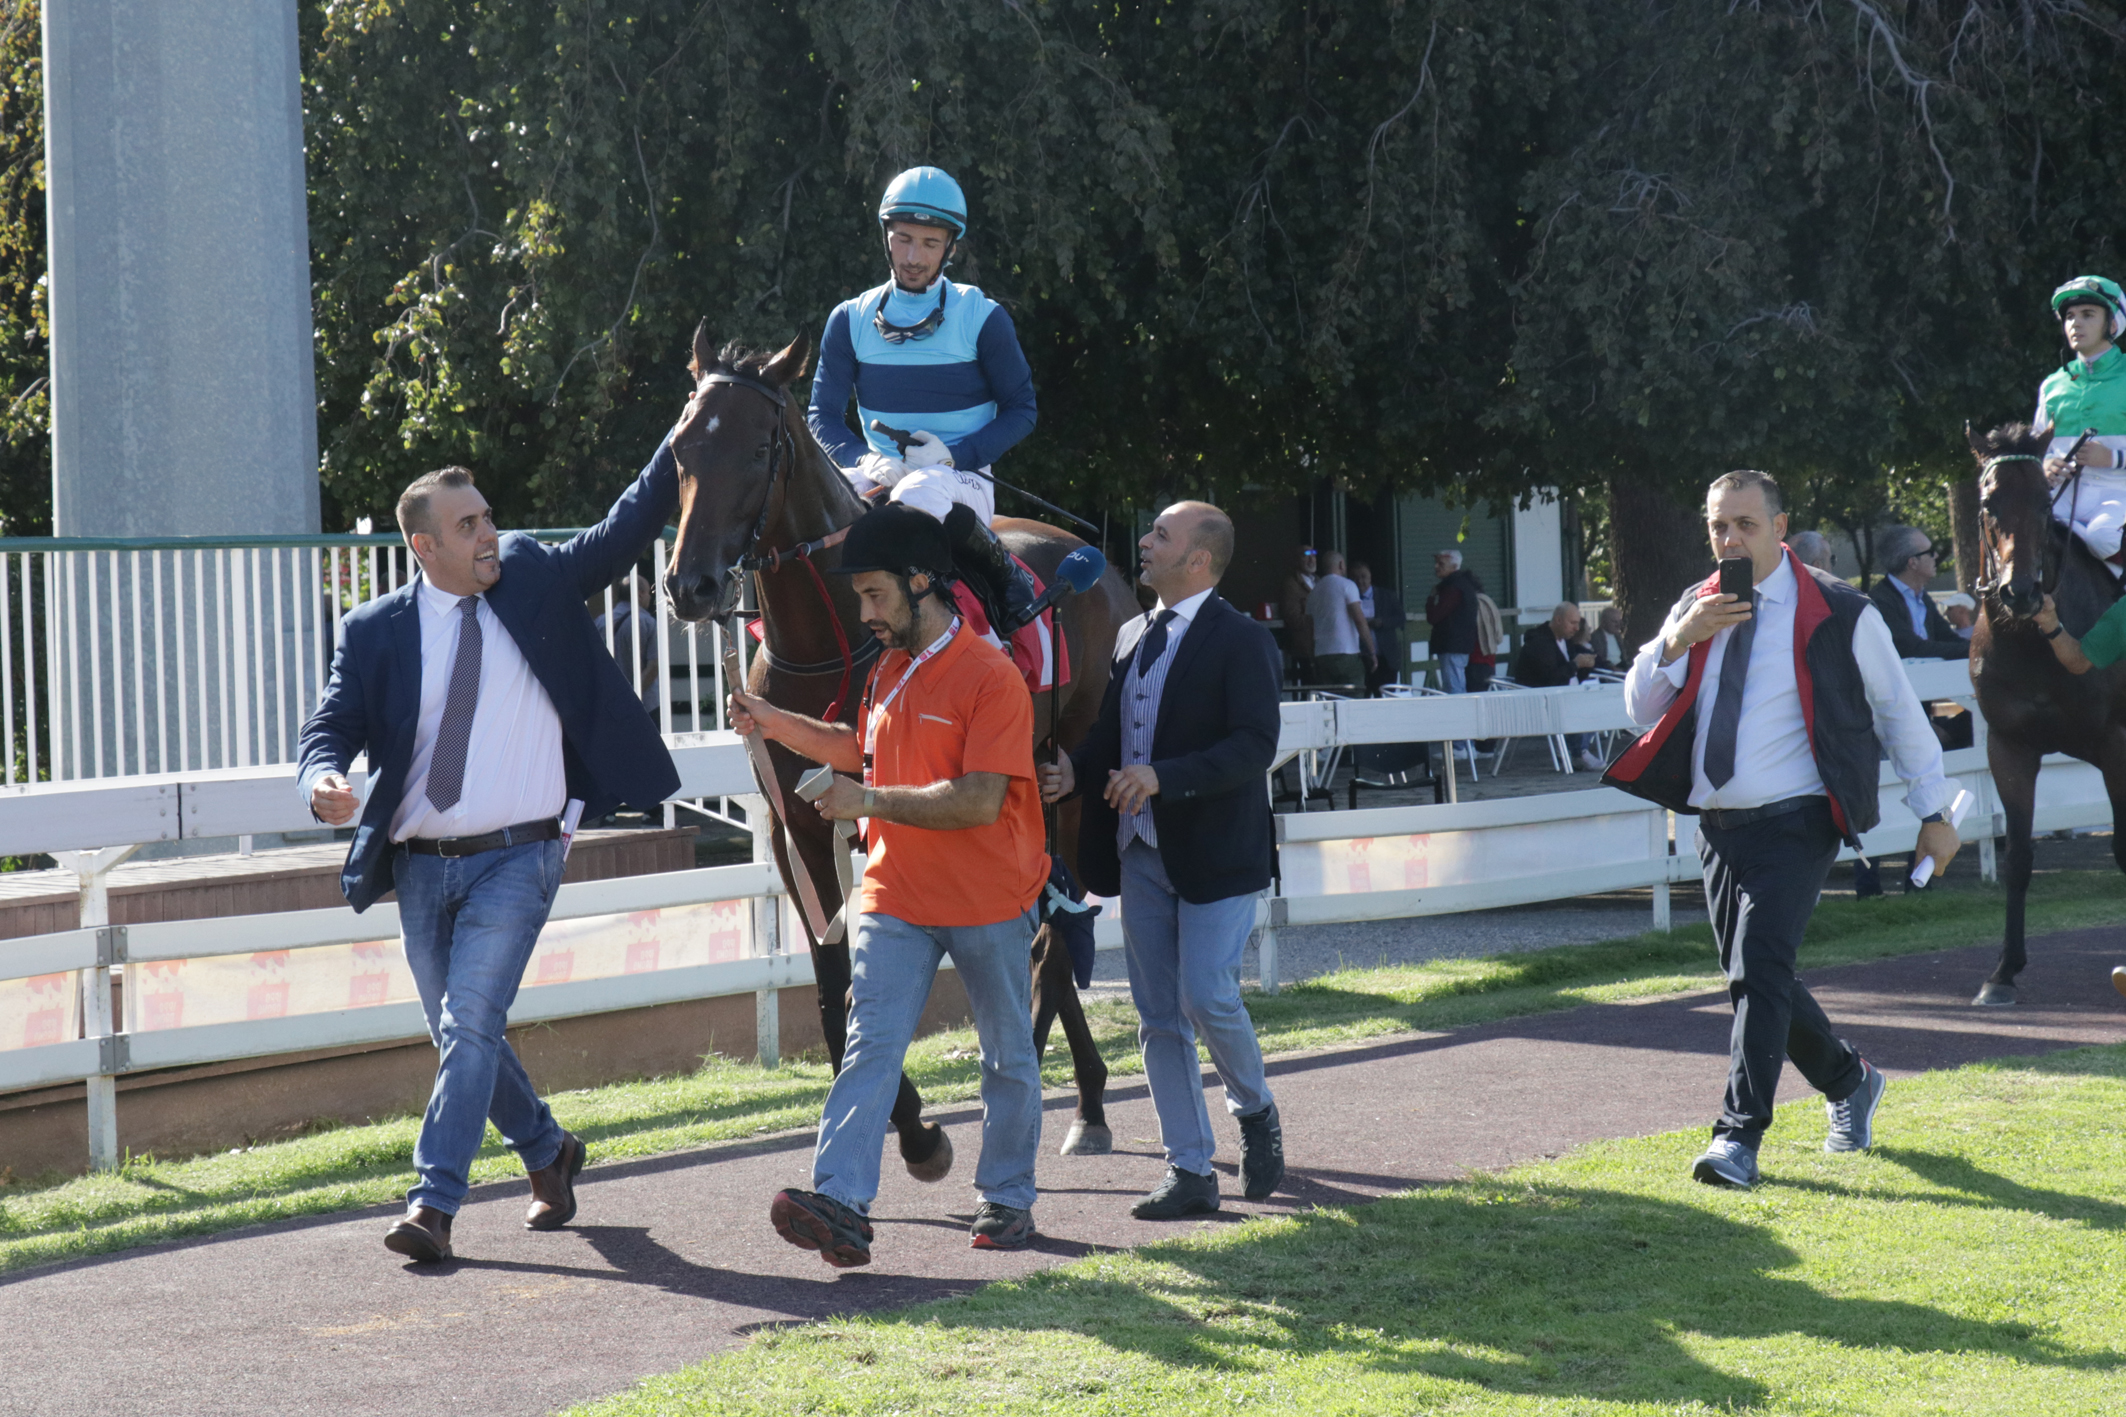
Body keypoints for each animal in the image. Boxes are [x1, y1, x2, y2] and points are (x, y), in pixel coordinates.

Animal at [663, 320, 1139, 1172]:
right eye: (682, 447)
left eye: (758, 449)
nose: (693, 585)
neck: (830, 638)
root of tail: (1099, 565)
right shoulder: (796, 825)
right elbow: (835, 988)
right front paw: (910, 1124)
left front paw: (918, 1127)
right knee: (1045, 934)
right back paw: (1075, 1092)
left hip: (1075, 783)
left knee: (1053, 937)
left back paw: (1054, 1090)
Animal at [1964, 420, 2117, 1006]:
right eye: (1989, 502)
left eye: (2042, 501)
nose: (2021, 591)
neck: (2030, 640)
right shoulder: (2009, 747)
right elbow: (2017, 859)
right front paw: (2003, 972)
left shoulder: (2116, 744)